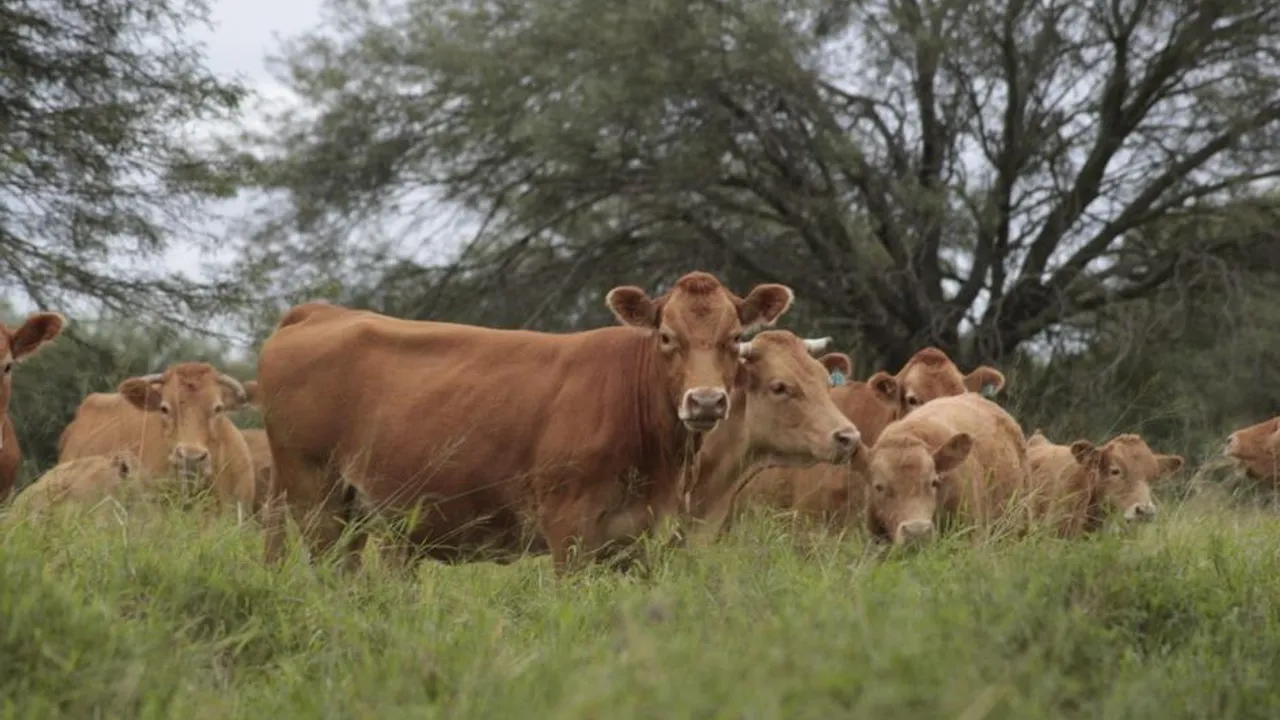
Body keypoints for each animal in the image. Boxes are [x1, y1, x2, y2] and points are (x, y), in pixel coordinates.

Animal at [256, 271, 796, 574]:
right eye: (666, 336)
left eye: (735, 337)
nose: (705, 402)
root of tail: (319, 313)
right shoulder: (567, 528)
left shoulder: (638, 535)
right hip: (315, 498)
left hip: (351, 512)